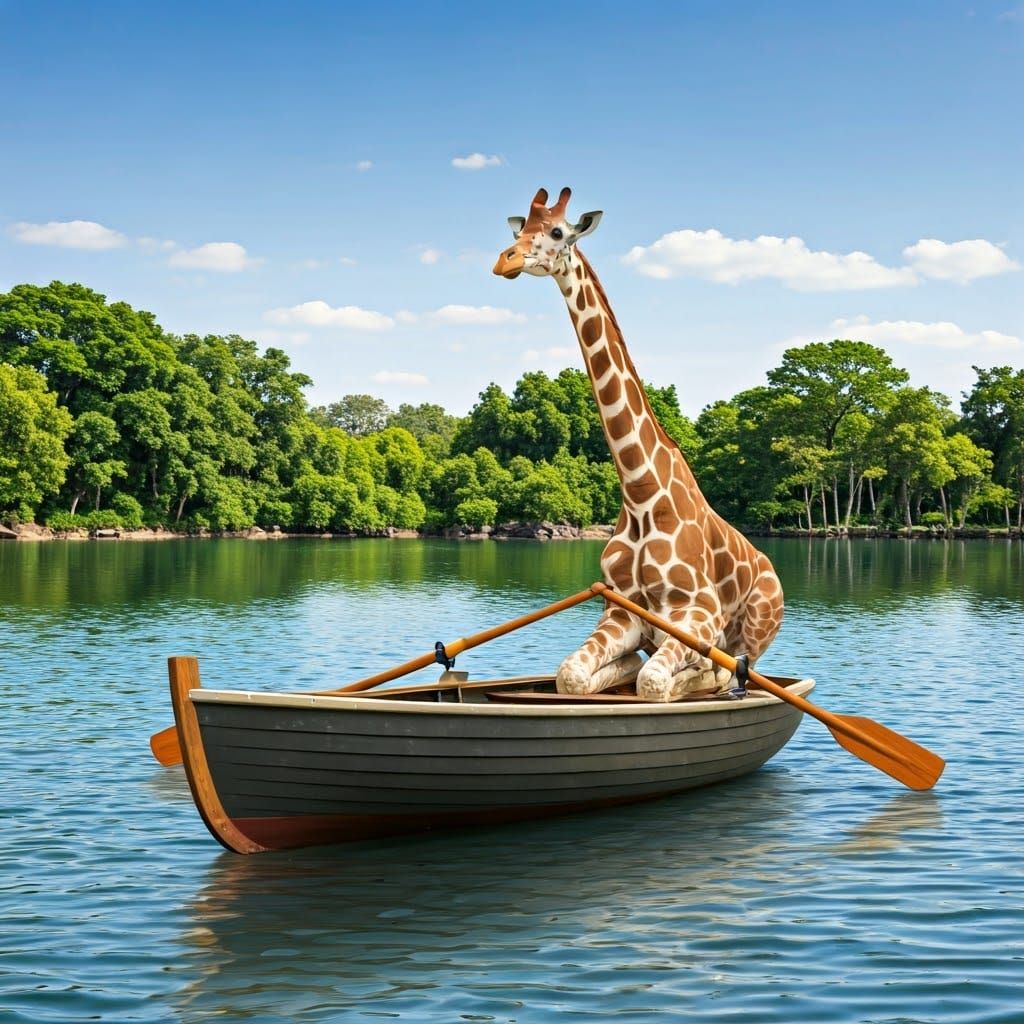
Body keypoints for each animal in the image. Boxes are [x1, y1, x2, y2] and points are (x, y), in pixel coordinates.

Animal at [492, 187, 785, 701]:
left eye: (557, 232)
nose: (504, 260)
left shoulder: (698, 614)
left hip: (757, 627)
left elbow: (657, 683)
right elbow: (573, 675)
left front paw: (692, 674)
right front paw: (618, 670)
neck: (640, 489)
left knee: (737, 669)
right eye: (518, 230)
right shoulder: (621, 613)